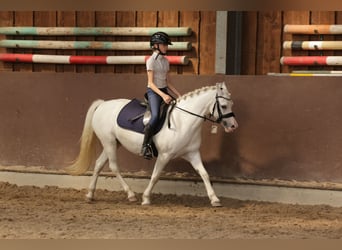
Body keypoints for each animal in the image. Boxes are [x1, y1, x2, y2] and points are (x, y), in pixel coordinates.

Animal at [66, 82, 238, 207]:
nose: (233, 126)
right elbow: (155, 176)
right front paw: (146, 198)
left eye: (231, 104)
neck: (183, 120)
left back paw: (90, 195)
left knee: (98, 164)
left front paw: (214, 199)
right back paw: (131, 195)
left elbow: (204, 174)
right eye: (223, 106)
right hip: (108, 142)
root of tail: (102, 104)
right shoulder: (164, 155)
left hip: (113, 143)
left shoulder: (193, 153)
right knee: (114, 167)